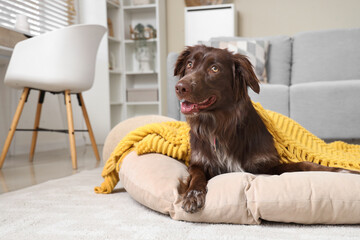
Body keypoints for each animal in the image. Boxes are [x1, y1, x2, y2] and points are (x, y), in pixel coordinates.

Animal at [174, 45, 354, 214]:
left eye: (214, 68)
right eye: (189, 64)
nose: (180, 87)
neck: (221, 125)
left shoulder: (266, 166)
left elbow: (305, 164)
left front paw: (341, 170)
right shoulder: (198, 162)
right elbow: (197, 175)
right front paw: (193, 195)